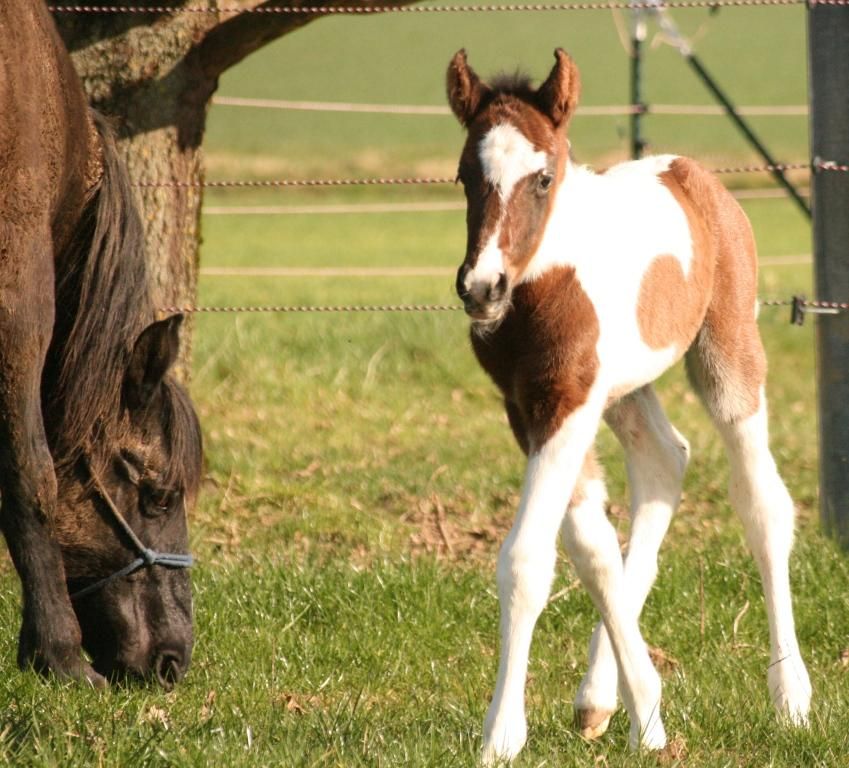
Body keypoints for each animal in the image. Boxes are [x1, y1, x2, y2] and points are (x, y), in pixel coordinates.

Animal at [444, 48, 808, 760]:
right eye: (465, 175)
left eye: (543, 176)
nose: (481, 287)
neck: (544, 284)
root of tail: (690, 170)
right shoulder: (530, 407)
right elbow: (593, 551)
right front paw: (641, 711)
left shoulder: (568, 401)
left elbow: (529, 559)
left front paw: (501, 735)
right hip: (627, 391)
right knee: (666, 463)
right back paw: (600, 695)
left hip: (728, 358)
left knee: (762, 505)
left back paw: (791, 697)